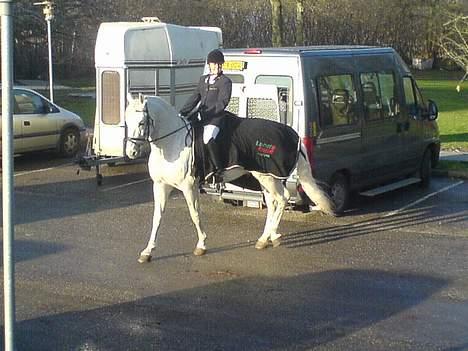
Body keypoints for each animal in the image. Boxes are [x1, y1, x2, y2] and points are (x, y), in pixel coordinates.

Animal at [126, 95, 334, 262]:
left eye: (142, 122)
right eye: (127, 121)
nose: (131, 152)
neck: (172, 142)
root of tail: (293, 134)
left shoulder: (188, 186)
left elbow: (194, 214)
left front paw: (201, 245)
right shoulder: (160, 185)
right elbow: (157, 217)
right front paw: (147, 252)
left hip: (269, 177)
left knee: (282, 199)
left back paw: (271, 237)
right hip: (266, 178)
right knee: (273, 203)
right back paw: (266, 238)